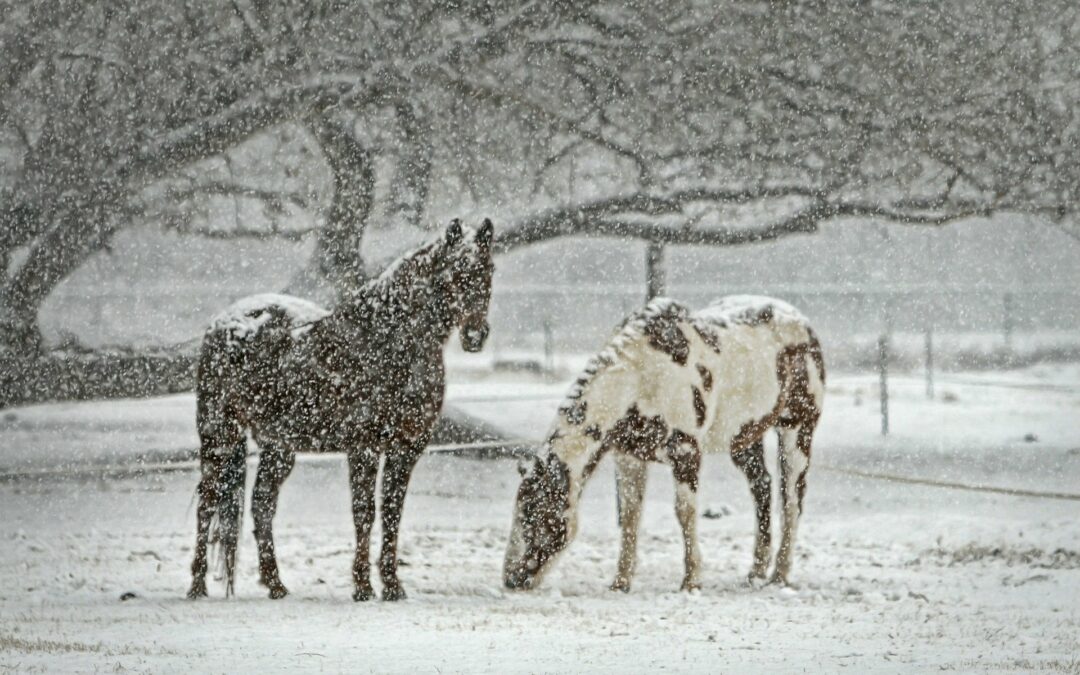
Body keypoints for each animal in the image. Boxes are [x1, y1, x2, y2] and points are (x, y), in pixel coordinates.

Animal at [189, 217, 494, 600]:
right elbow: (364, 512)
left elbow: (392, 512)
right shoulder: (364, 447)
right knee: (207, 501)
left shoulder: (406, 448)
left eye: (488, 269)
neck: (388, 341)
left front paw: (392, 585)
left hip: (278, 447)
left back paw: (276, 584)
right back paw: (197, 585)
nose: (475, 335)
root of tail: (223, 323)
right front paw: (362, 586)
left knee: (261, 505)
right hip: (219, 434)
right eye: (454, 272)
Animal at [505, 293, 825, 587]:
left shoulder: (685, 453)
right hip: (744, 439)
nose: (511, 579)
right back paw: (756, 572)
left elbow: (684, 512)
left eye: (536, 514)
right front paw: (621, 582)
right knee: (762, 488)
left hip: (797, 430)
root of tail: (803, 323)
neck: (641, 377)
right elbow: (631, 515)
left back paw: (780, 575)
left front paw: (691, 581)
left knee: (792, 498)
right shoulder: (629, 457)